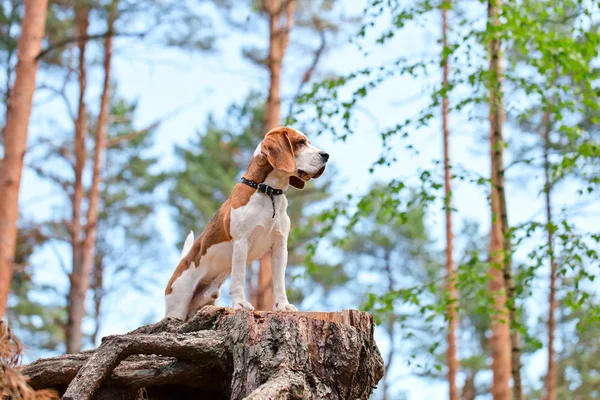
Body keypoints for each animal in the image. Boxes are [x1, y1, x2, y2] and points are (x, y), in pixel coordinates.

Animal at [165, 126, 328, 320]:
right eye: (301, 142)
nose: (326, 155)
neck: (268, 191)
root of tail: (182, 263)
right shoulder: (242, 242)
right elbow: (238, 278)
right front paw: (240, 304)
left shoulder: (280, 247)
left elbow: (279, 282)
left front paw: (283, 305)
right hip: (177, 305)